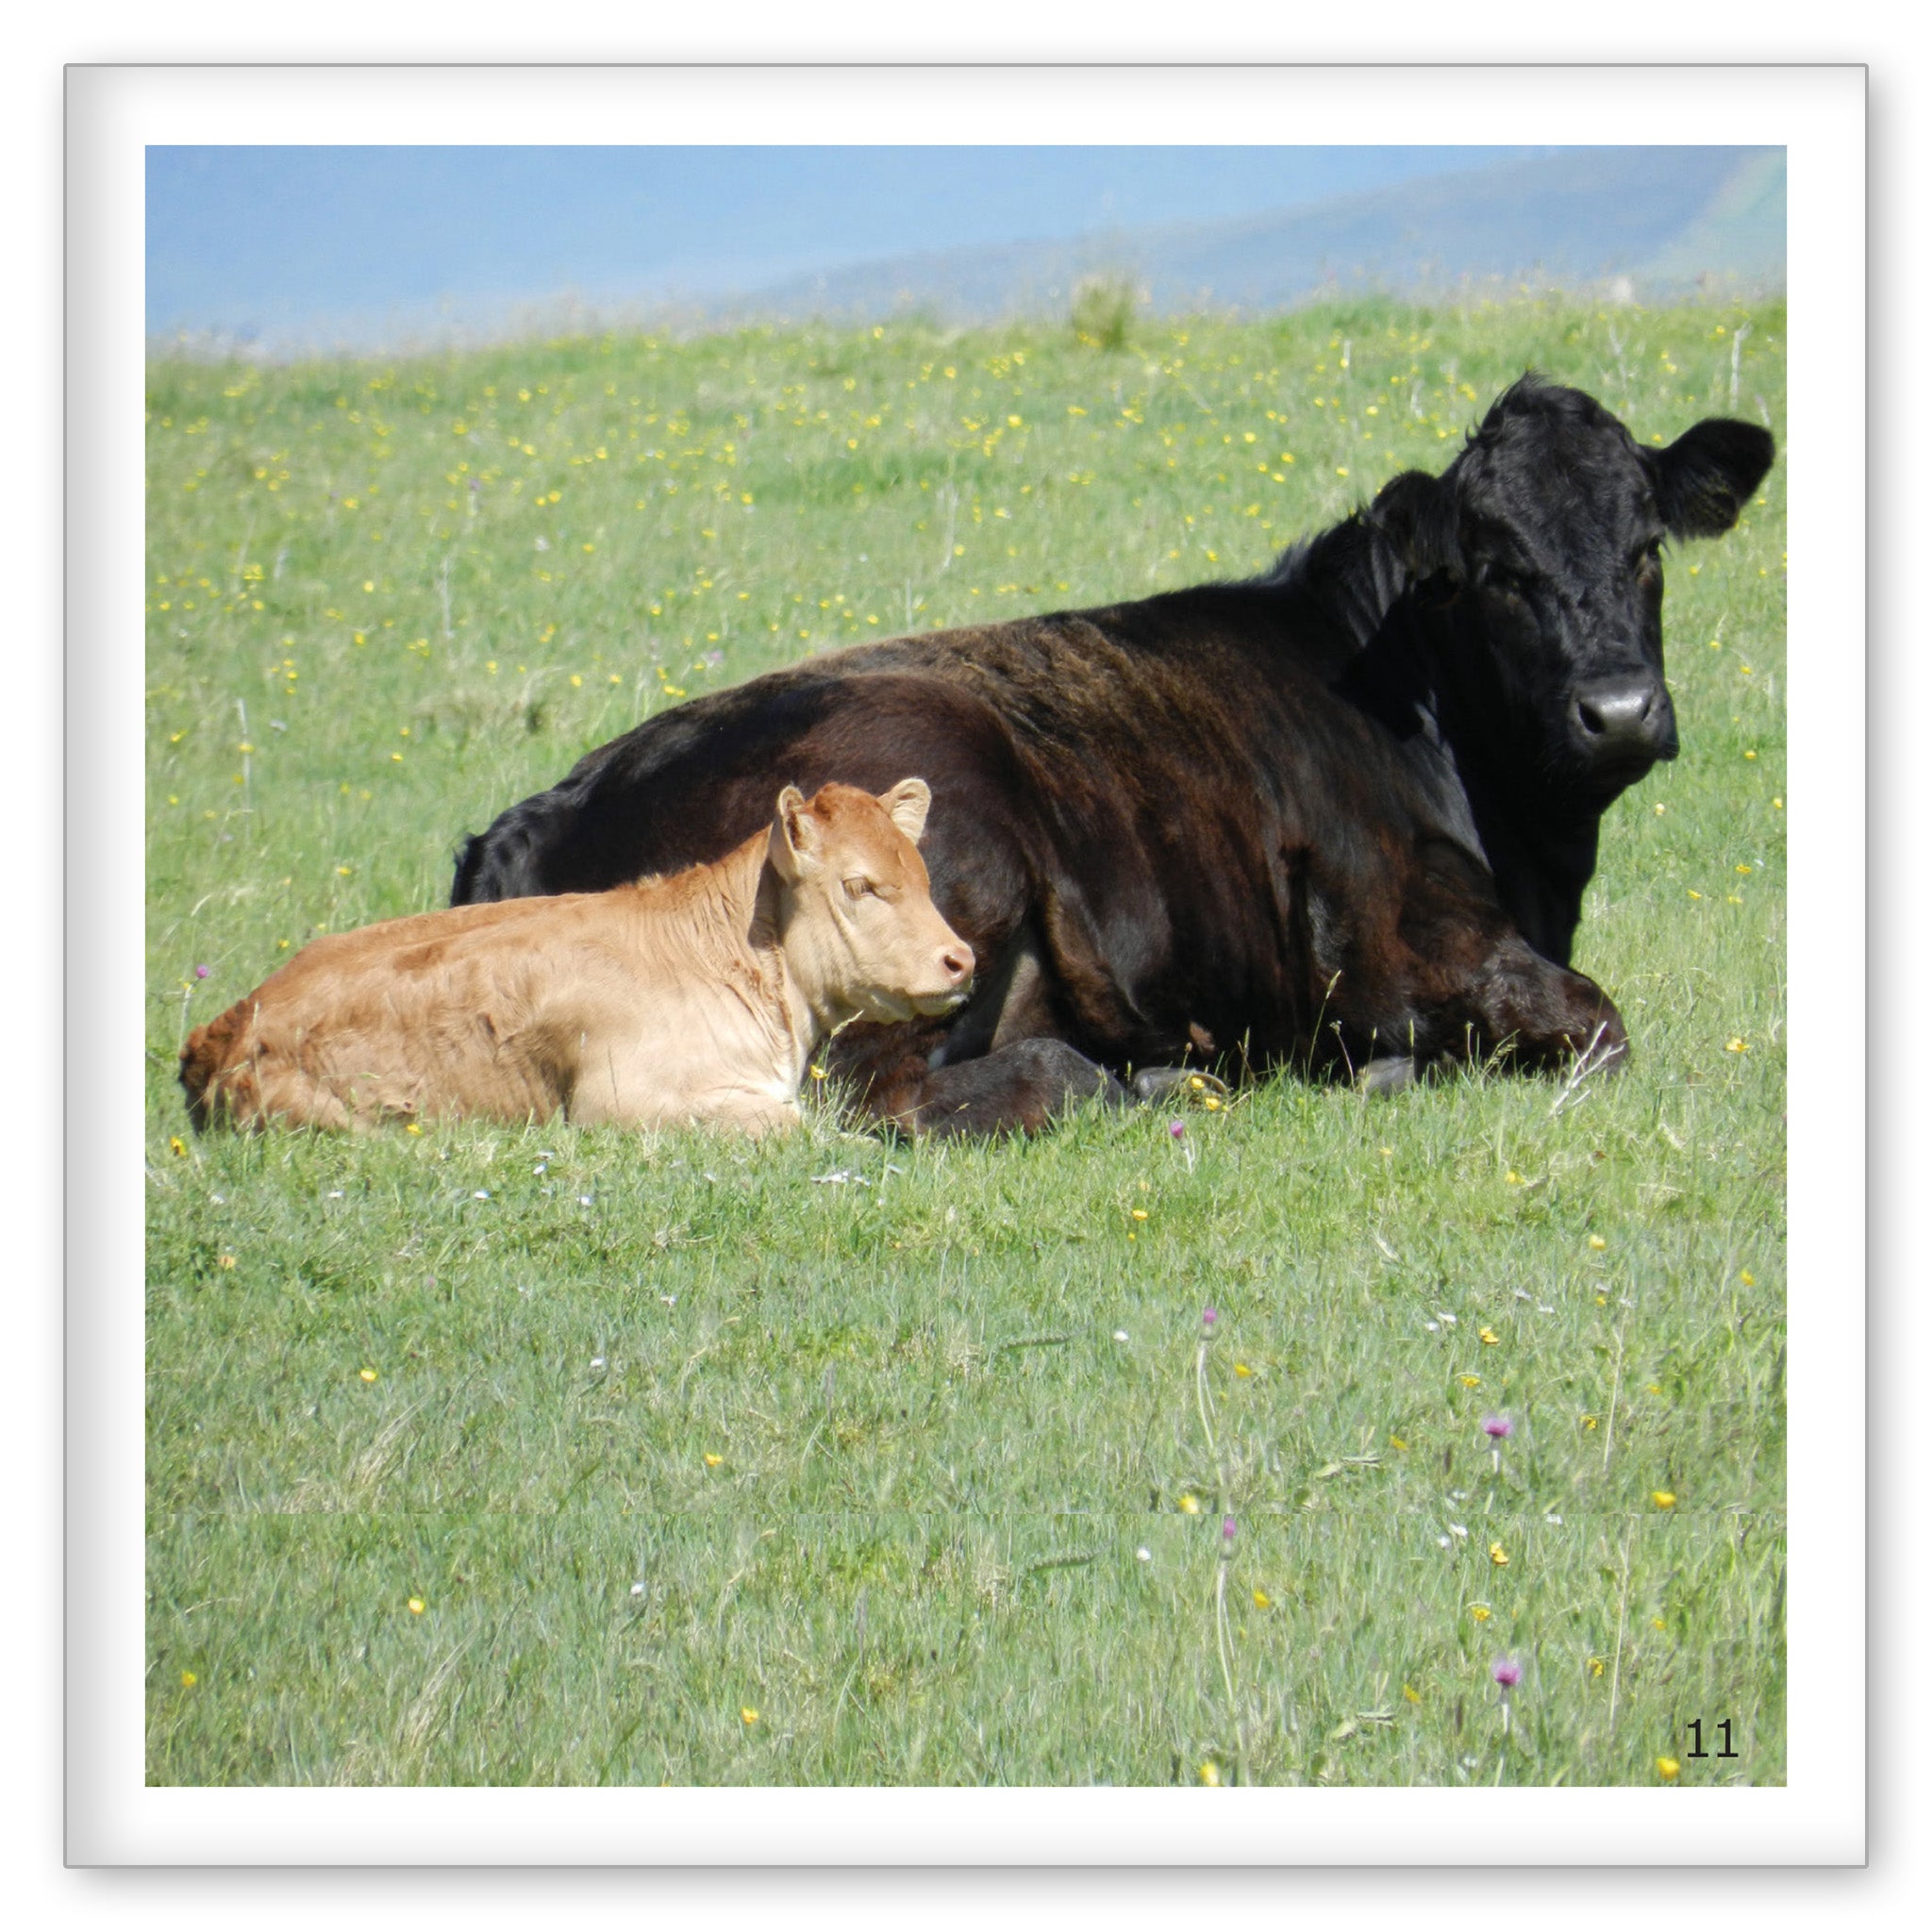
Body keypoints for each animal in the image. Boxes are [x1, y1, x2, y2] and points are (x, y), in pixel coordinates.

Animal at [450, 376, 1775, 1137]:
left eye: (1648, 545)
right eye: (1497, 567)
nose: (1617, 708)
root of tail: (536, 810)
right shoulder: (1401, 947)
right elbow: (1593, 1021)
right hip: (954, 826)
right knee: (874, 1095)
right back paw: (1129, 1080)